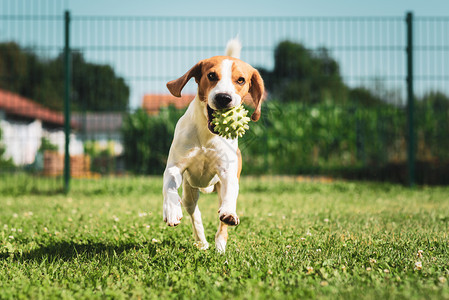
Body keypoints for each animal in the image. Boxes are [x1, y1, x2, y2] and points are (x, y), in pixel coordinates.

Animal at [164, 38, 262, 253]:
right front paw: (172, 210)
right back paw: (202, 242)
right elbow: (169, 185)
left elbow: (229, 197)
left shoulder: (228, 172)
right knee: (195, 214)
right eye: (211, 75)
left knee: (222, 223)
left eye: (240, 80)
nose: (223, 97)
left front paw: (229, 214)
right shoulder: (175, 166)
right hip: (190, 193)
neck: (207, 136)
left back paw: (220, 245)